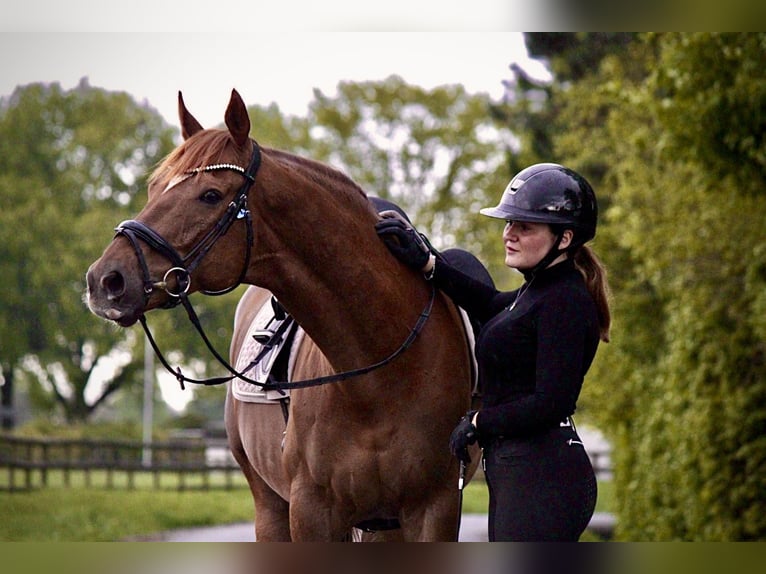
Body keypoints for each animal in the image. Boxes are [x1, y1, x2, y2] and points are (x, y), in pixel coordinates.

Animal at [85, 90, 480, 544]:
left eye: (210, 195)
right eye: (153, 188)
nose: (105, 279)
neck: (378, 374)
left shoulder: (435, 509)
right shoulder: (311, 512)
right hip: (271, 506)